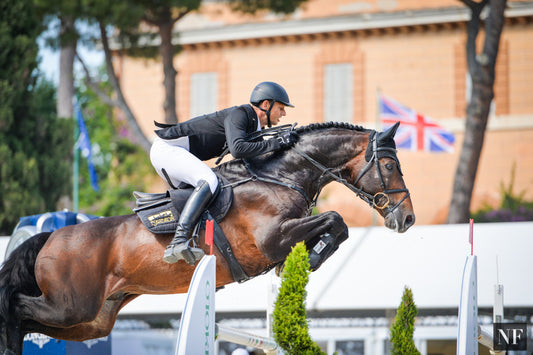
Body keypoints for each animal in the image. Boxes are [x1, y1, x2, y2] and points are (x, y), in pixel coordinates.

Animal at [0, 121, 414, 354]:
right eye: (389, 164)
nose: (408, 218)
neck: (281, 176)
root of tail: (50, 237)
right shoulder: (272, 239)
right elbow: (336, 219)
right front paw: (310, 258)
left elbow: (336, 226)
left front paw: (306, 260)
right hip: (72, 305)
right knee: (18, 307)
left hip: (91, 320)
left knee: (30, 319)